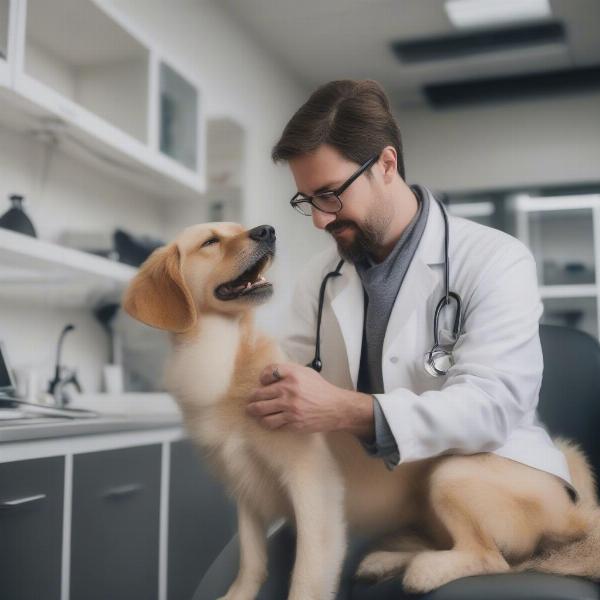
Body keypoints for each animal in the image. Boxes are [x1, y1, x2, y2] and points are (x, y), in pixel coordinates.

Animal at [123, 221, 600, 600]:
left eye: (239, 230)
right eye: (210, 241)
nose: (266, 230)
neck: (223, 357)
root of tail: (573, 511)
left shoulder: (313, 489)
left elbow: (307, 577)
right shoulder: (244, 489)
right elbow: (251, 563)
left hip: (451, 474)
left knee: (493, 558)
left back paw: (424, 570)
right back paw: (386, 560)